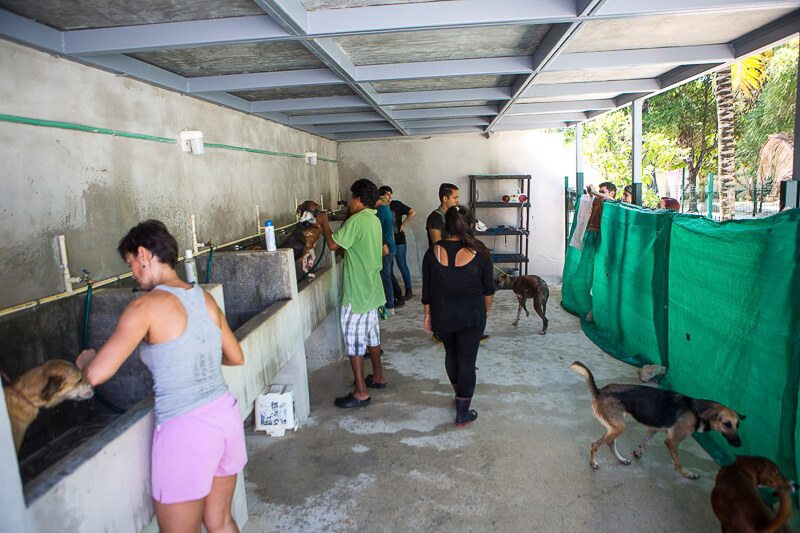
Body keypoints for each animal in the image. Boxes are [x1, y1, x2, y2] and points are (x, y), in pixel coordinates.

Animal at [568, 362, 744, 478]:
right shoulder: (672, 442)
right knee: (595, 444)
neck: (695, 409)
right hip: (618, 427)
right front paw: (687, 474)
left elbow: (645, 443)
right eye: (727, 424)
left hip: (616, 427)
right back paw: (593, 463)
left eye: (737, 425)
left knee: (610, 443)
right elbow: (678, 462)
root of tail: (599, 391)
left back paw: (622, 460)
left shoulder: (653, 429)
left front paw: (638, 452)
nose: (739, 444)